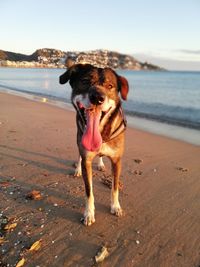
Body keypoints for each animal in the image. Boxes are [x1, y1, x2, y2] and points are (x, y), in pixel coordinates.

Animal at [59, 64, 129, 226]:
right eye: (85, 81)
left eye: (110, 86)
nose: (97, 98)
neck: (102, 133)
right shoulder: (87, 158)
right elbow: (89, 190)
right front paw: (89, 213)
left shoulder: (117, 161)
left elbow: (115, 187)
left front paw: (115, 206)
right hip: (79, 137)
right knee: (79, 155)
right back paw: (78, 169)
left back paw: (101, 163)